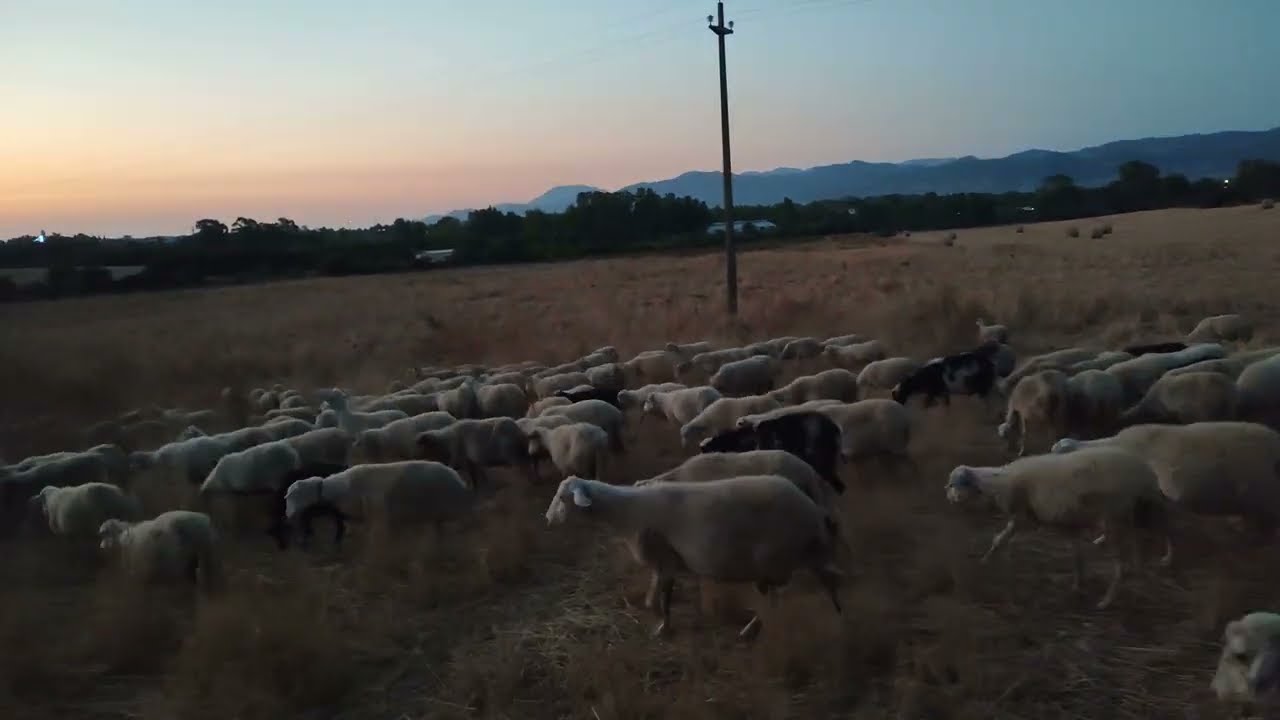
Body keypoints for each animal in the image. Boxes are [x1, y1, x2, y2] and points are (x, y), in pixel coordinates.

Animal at [284, 461, 474, 547]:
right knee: (439, 528)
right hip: (437, 512)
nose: (288, 515)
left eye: (292, 495)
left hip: (454, 508)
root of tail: (458, 480)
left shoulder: (379, 515)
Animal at [544, 474, 843, 638]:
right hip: (802, 553)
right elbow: (653, 594)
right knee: (826, 579)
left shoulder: (665, 558)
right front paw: (654, 613)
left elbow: (665, 599)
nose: (547, 519)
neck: (627, 512)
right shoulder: (663, 563)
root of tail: (813, 510)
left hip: (775, 558)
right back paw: (837, 614)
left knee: (779, 597)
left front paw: (663, 627)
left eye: (562, 497)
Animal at [944, 447, 1172, 609]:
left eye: (957, 483)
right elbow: (1077, 556)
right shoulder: (1070, 523)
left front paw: (985, 561)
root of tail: (1147, 474)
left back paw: (1107, 600)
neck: (998, 483)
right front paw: (1078, 584)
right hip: (1132, 515)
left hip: (1114, 517)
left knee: (1121, 564)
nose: (949, 498)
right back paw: (1140, 576)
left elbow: (1000, 539)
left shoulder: (1022, 516)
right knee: (1138, 546)